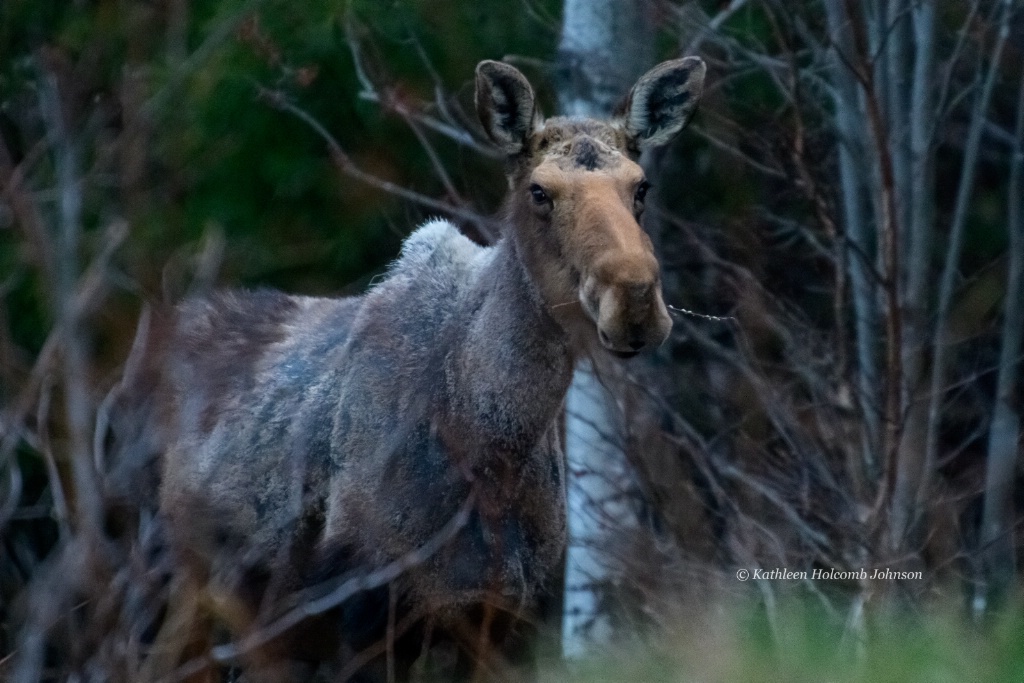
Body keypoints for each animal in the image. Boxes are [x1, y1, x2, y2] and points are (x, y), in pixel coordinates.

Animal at [153, 56, 704, 679]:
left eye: (641, 186)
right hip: (204, 594)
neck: (489, 454)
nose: (634, 301)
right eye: (539, 191)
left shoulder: (507, 617)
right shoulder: (366, 611)